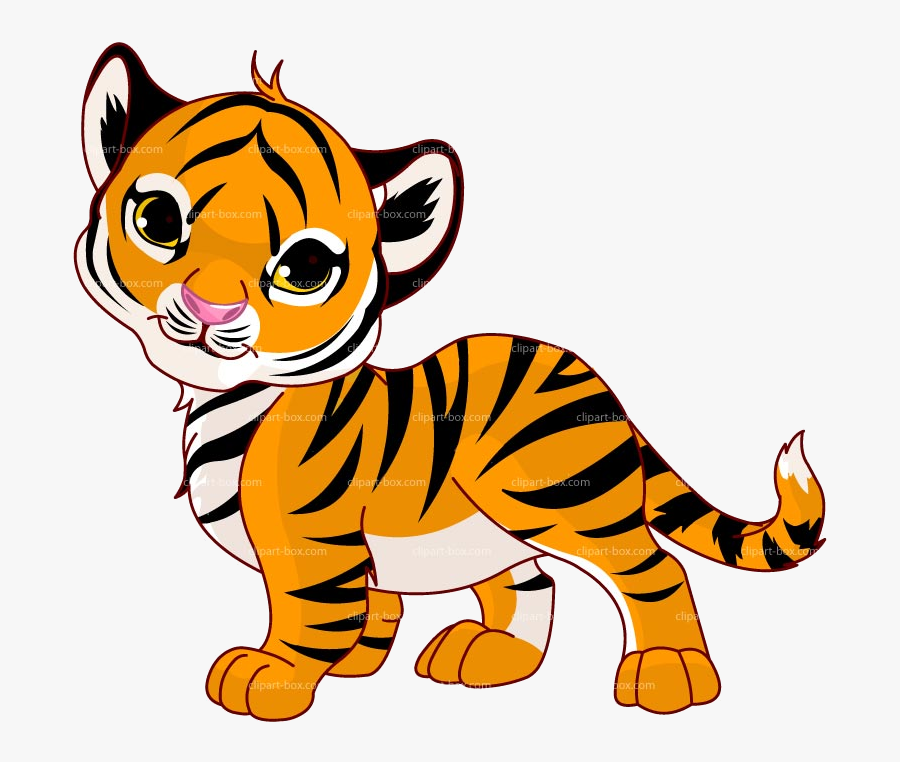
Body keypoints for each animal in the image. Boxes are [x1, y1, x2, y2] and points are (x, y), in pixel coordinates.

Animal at [75, 43, 825, 721]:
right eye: (158, 221)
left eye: (304, 268)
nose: (211, 308)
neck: (233, 398)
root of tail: (590, 377)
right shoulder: (361, 553)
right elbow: (373, 605)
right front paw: (357, 662)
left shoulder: (313, 543)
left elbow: (315, 613)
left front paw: (274, 677)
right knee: (532, 582)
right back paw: (492, 655)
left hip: (559, 495)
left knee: (653, 571)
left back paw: (668, 673)